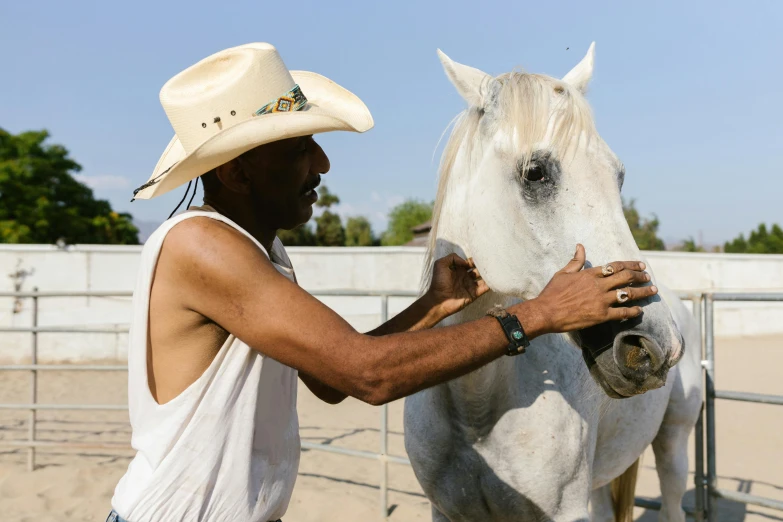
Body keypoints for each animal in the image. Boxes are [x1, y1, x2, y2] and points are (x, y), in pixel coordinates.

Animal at [408, 44, 700, 520]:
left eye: (618, 176)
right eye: (535, 172)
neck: (475, 407)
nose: (652, 345)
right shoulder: (444, 510)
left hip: (674, 444)